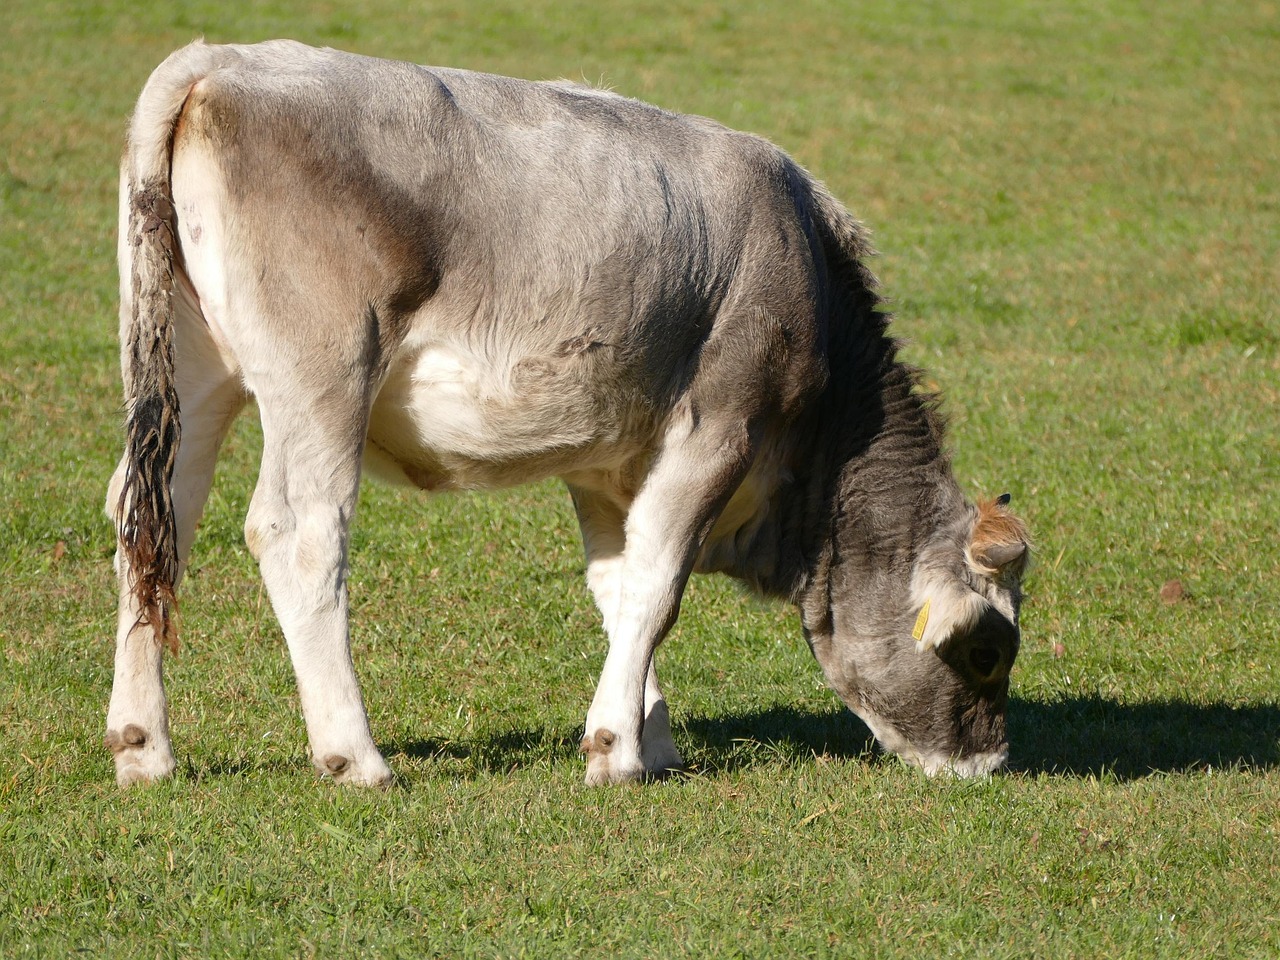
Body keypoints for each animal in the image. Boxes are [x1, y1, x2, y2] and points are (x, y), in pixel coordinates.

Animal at [107, 39, 1029, 788]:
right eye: (987, 651)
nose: (986, 765)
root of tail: (221, 61)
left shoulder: (610, 461)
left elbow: (620, 584)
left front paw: (649, 739)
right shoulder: (718, 428)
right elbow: (658, 588)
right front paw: (616, 751)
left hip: (197, 372)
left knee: (150, 521)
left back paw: (144, 745)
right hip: (324, 377)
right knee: (299, 534)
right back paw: (355, 757)